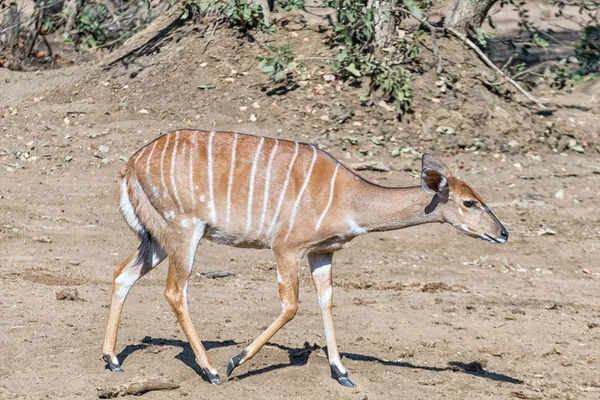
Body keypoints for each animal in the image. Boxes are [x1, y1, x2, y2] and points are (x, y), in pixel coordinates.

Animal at [102, 130, 506, 386]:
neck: (349, 196)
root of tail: (132, 163)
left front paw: (342, 373)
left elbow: (326, 301)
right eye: (470, 203)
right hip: (185, 230)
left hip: (159, 238)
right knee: (174, 291)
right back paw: (211, 370)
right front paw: (235, 361)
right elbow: (291, 305)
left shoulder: (322, 253)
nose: (503, 233)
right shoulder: (286, 247)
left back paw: (112, 359)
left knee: (123, 273)